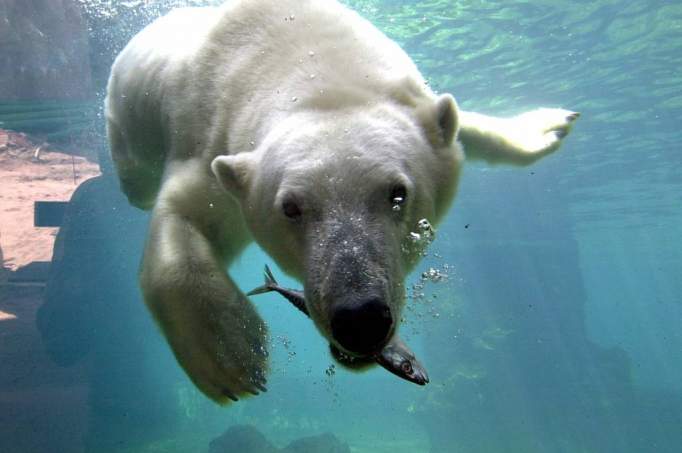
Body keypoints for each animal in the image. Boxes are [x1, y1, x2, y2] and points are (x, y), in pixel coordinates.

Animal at [105, 0, 572, 402]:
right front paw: (231, 355)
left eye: (398, 193)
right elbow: (183, 216)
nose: (360, 319)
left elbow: (455, 128)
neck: (309, 64)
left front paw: (548, 126)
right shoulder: (210, 143)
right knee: (138, 181)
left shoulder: (412, 102)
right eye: (290, 208)